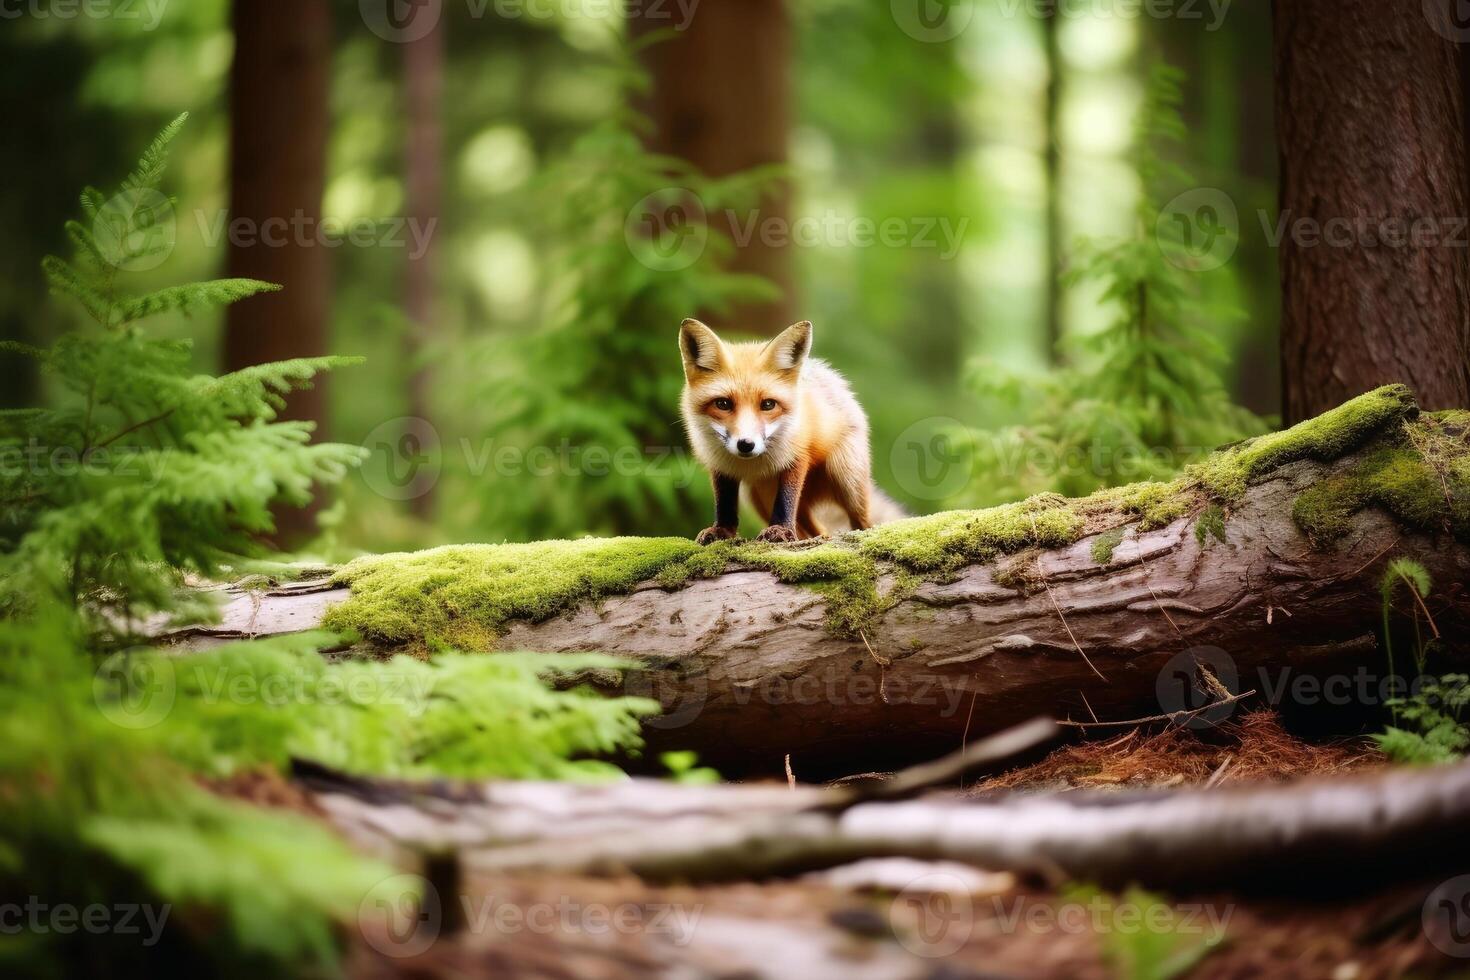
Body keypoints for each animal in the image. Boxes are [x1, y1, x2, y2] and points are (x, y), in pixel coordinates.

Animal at [679, 318, 905, 543]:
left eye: (768, 404)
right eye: (723, 404)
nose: (746, 444)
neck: (751, 464)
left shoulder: (796, 457)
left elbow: (786, 500)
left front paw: (780, 529)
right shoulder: (720, 466)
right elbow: (724, 503)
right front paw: (722, 531)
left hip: (847, 479)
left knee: (862, 521)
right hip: (760, 498)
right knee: (819, 530)